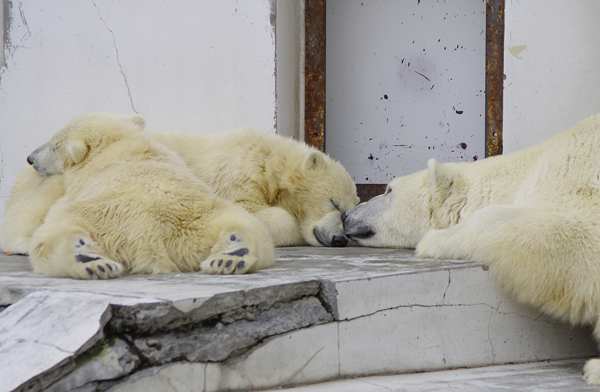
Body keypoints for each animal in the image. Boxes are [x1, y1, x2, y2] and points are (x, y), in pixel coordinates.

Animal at [0, 112, 356, 258]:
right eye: (334, 203)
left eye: (348, 211)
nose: (340, 239)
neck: (269, 161)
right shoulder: (236, 173)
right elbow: (253, 212)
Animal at [22, 112, 274, 280]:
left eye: (53, 145)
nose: (30, 158)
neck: (117, 143)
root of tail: (148, 235)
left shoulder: (74, 192)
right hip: (203, 217)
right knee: (246, 225)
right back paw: (232, 256)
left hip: (93, 217)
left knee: (52, 236)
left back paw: (91, 263)